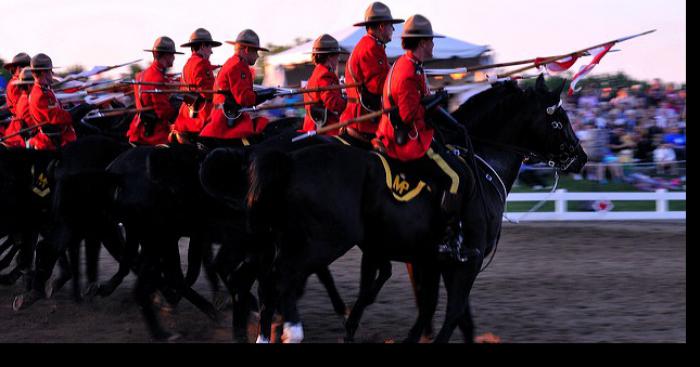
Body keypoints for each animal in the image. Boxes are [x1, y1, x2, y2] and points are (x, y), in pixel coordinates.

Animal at [245, 76, 584, 344]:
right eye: (558, 120)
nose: (580, 157)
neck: (482, 166)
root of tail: (288, 161)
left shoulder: (431, 261)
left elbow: (439, 309)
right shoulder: (465, 262)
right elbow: (451, 313)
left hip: (285, 240)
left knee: (270, 282)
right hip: (323, 242)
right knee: (282, 277)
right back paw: (291, 329)